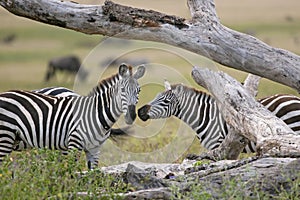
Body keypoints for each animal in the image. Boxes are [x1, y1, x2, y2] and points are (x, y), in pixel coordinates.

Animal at [0, 64, 145, 169]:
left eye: (139, 90)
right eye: (122, 90)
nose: (132, 115)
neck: (96, 116)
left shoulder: (94, 150)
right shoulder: (74, 145)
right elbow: (71, 174)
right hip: (5, 137)